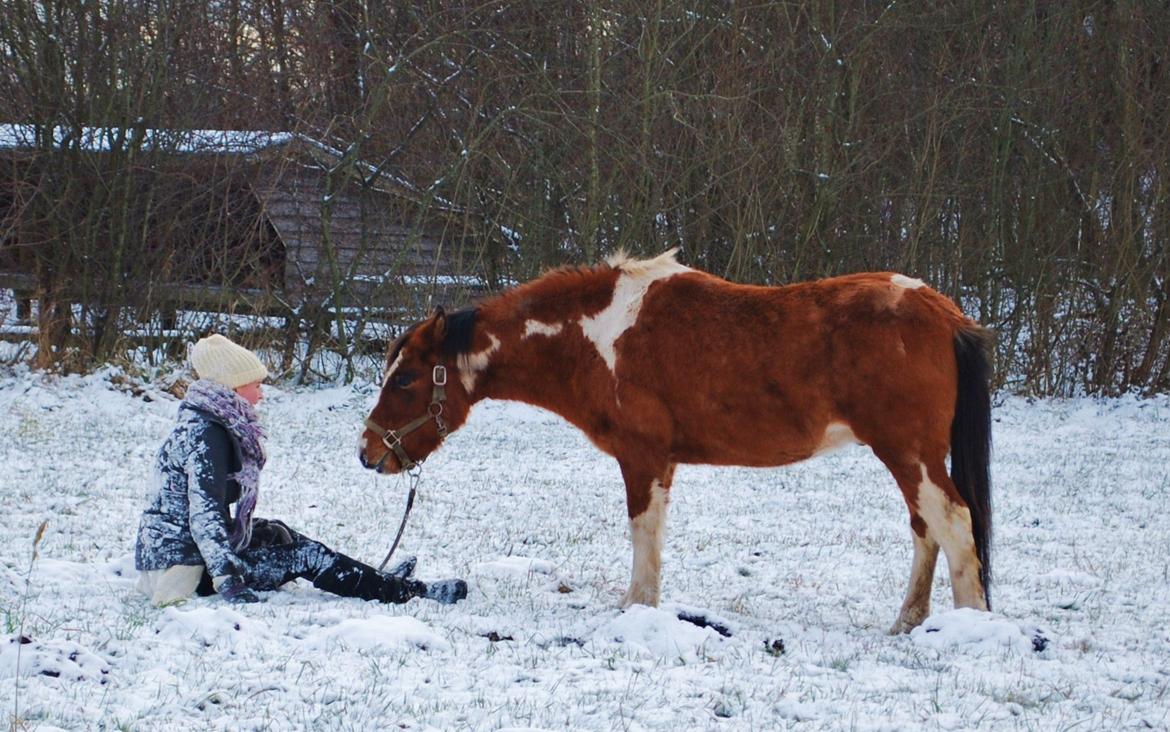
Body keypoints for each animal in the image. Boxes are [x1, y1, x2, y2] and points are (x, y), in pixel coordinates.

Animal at [359, 250, 993, 633]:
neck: (597, 336)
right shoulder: (660, 462)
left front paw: (634, 611)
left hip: (908, 453)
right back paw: (908, 622)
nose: (368, 452)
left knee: (954, 524)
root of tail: (946, 313)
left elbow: (643, 538)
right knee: (927, 529)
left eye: (406, 379)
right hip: (909, 456)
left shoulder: (643, 458)